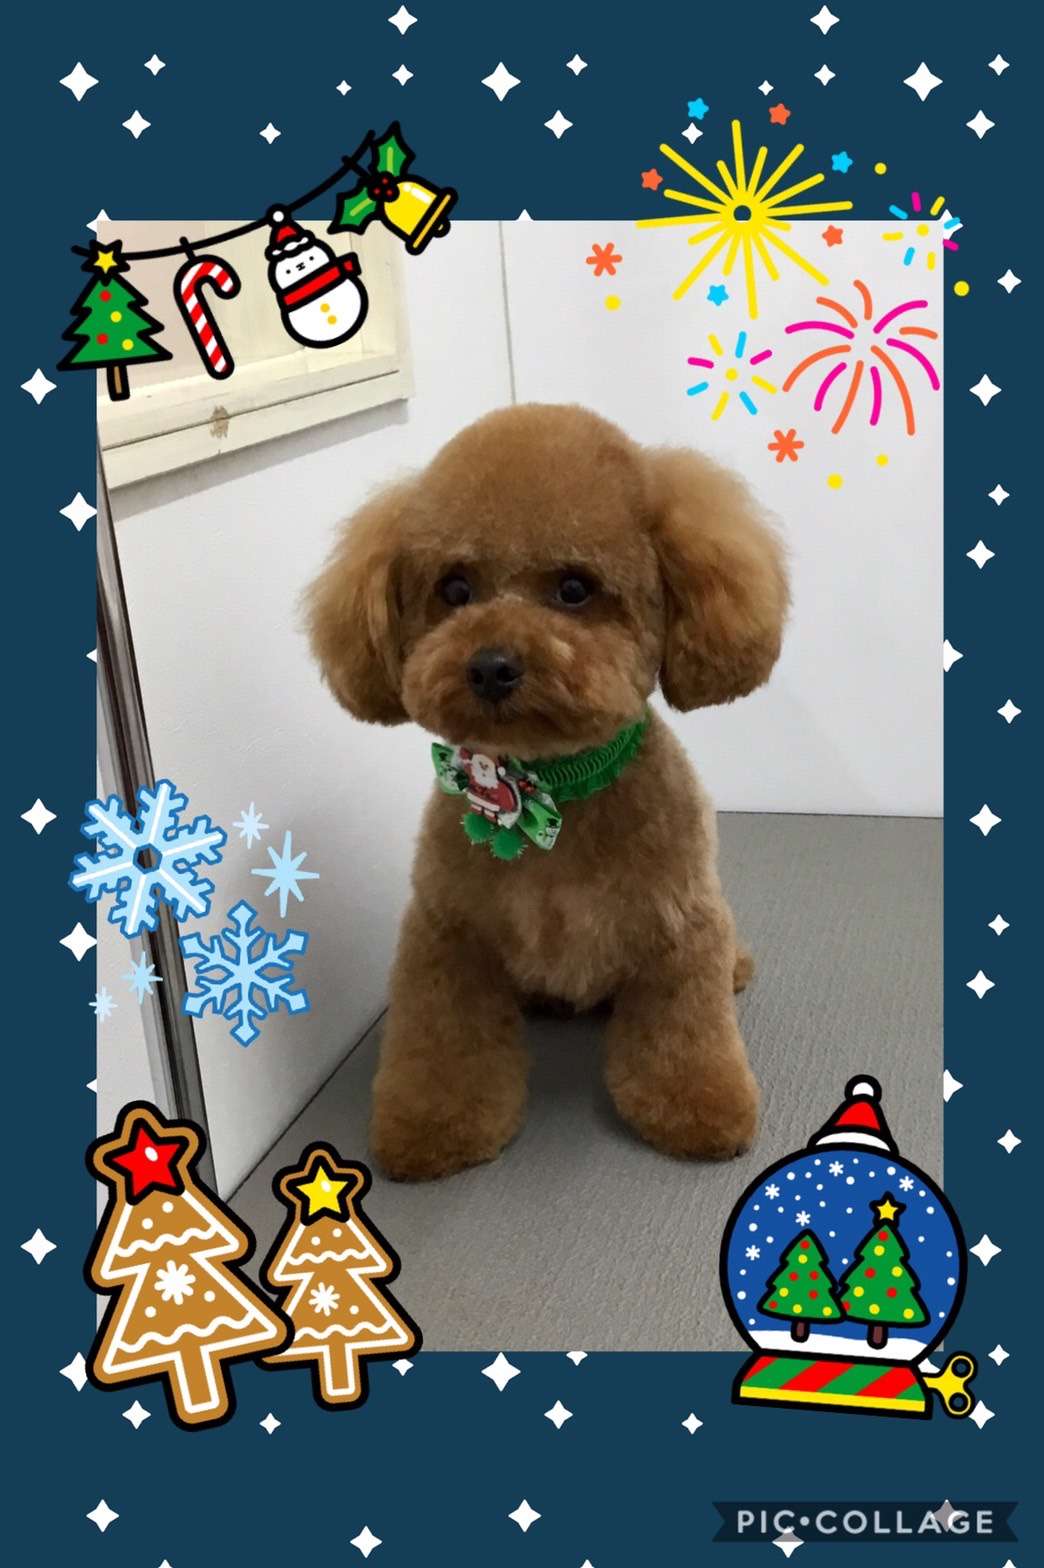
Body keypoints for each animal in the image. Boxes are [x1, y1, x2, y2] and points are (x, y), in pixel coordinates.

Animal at [306, 403, 788, 1179]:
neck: (551, 789)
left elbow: (687, 1037)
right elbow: (441, 1044)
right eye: (455, 589)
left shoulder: (680, 930)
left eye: (574, 588)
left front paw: (701, 1111)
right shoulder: (447, 936)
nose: (491, 665)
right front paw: (433, 1130)